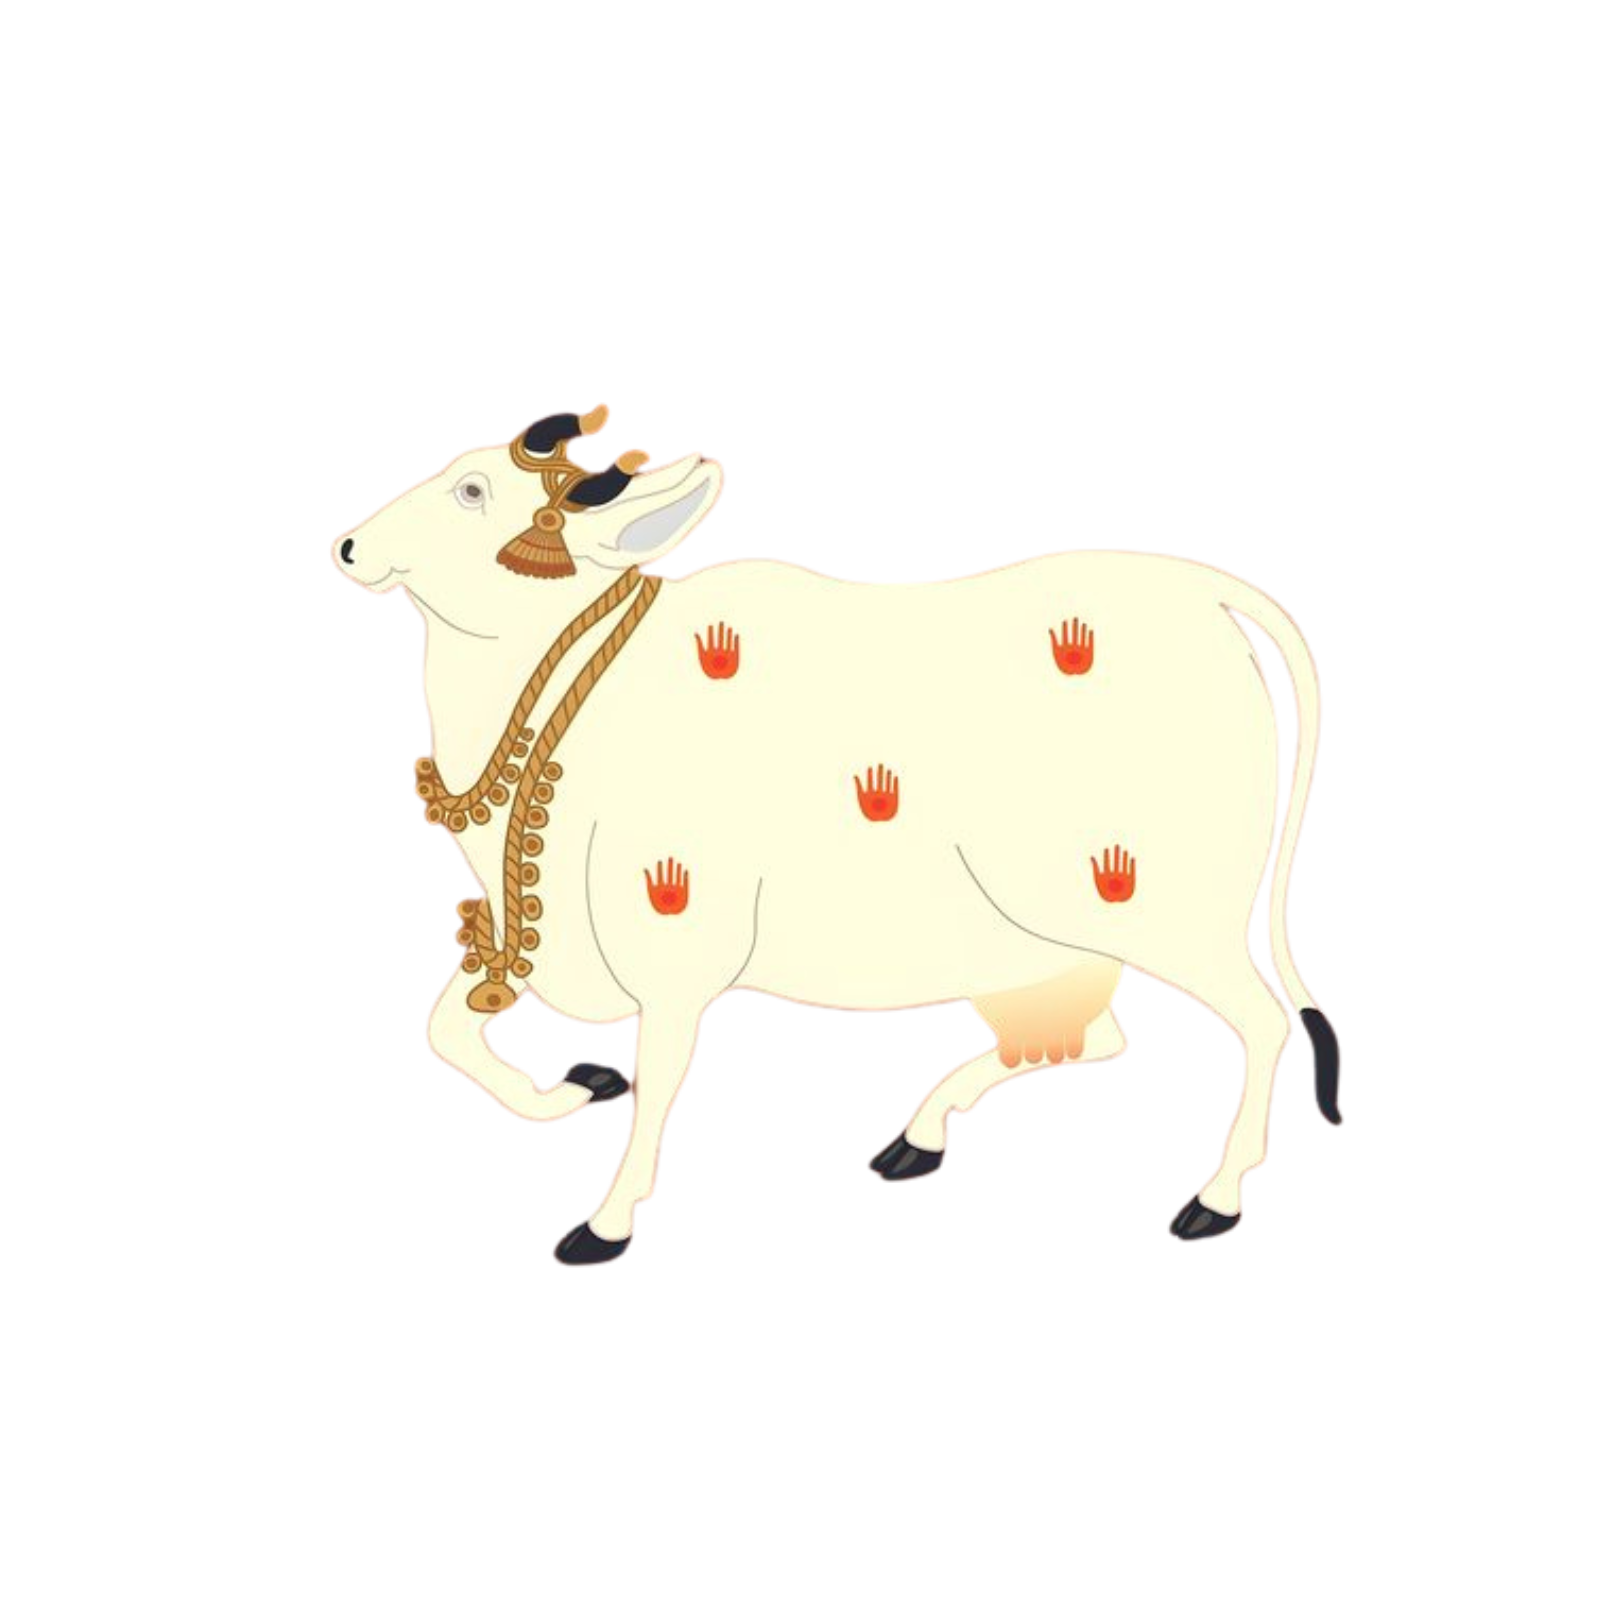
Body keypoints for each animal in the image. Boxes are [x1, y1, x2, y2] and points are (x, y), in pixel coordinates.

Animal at [330, 402, 1342, 1265]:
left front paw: (608, 1217)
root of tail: (1210, 594)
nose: (347, 545)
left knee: (1258, 1023)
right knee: (1098, 1040)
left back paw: (1214, 1197)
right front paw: (572, 1087)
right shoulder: (528, 944)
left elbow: (657, 1084)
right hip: (1049, 941)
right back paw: (922, 1131)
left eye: (472, 491)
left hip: (1163, 912)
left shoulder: (677, 951)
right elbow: (447, 1035)